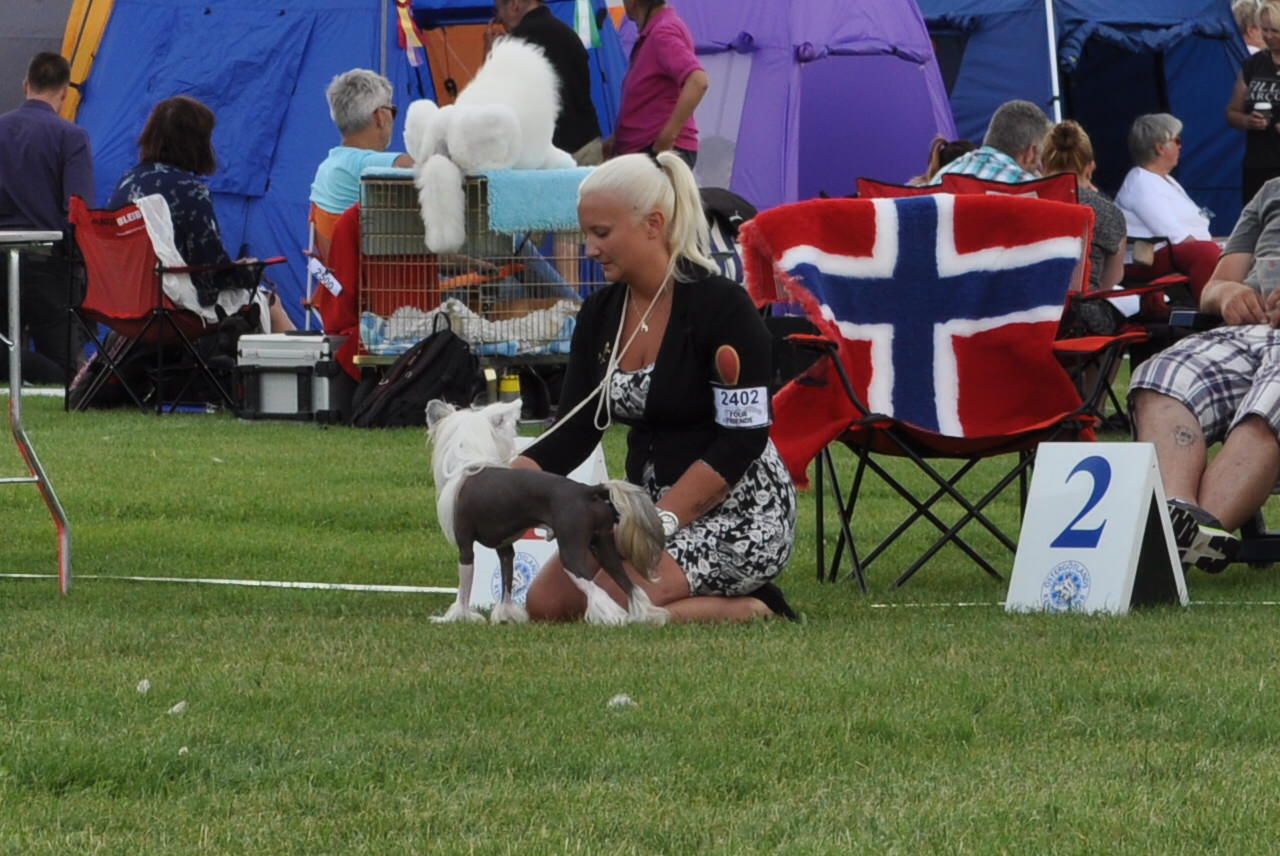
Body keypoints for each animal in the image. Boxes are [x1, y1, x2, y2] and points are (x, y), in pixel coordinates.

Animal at [404, 37, 576, 250]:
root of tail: (443, 128)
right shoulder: (543, 153)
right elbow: (561, 160)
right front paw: (568, 162)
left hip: (420, 114)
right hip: (498, 126)